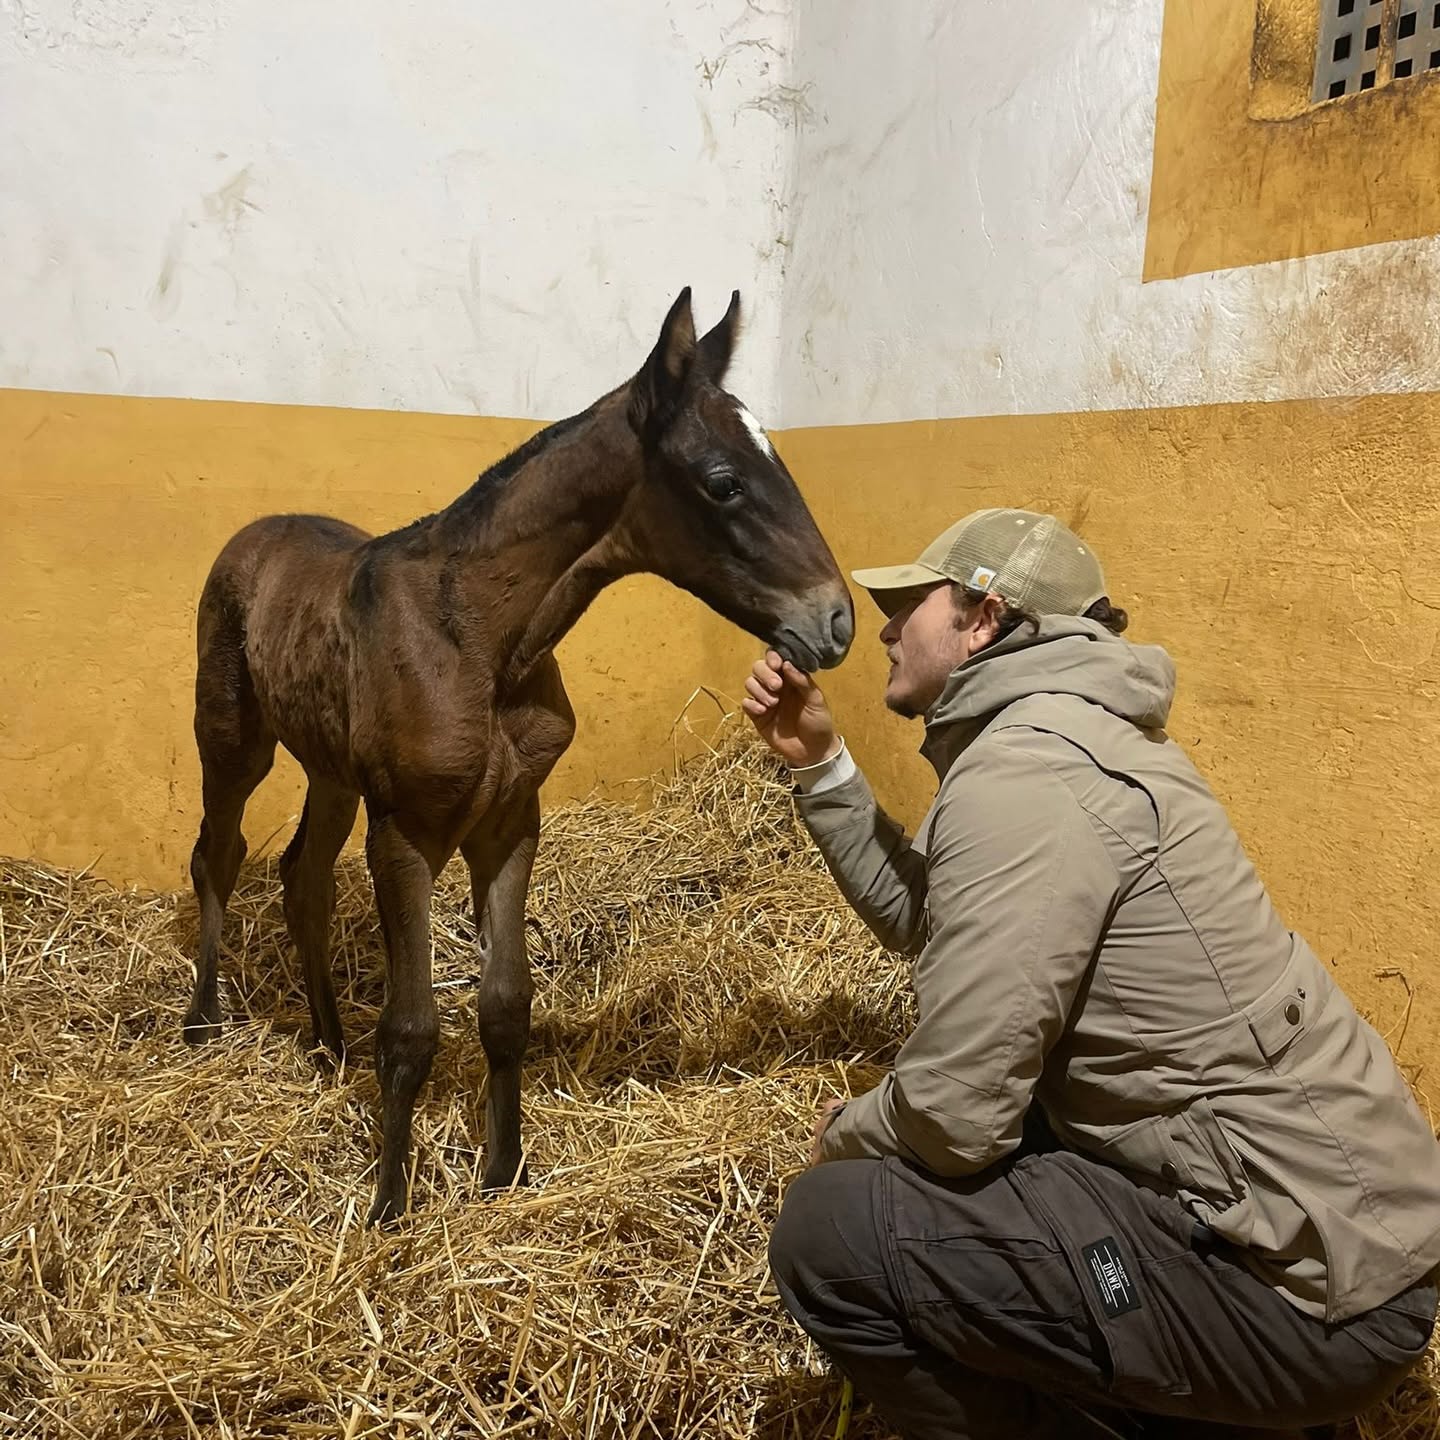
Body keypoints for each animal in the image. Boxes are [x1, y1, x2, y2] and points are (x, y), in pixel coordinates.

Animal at [182, 288, 855, 1222]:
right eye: (723, 483)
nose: (837, 622)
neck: (481, 640)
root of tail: (252, 535)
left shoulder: (509, 825)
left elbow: (505, 1006)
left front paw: (504, 1173)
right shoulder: (406, 834)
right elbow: (413, 1027)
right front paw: (390, 1209)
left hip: (331, 771)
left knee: (301, 875)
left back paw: (326, 1044)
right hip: (234, 738)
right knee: (219, 852)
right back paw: (203, 1023)